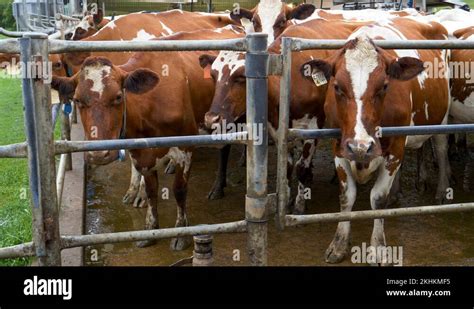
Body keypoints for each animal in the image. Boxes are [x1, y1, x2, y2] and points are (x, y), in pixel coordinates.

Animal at [52, 25, 244, 249]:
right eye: (77, 100)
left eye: (119, 96)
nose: (99, 155)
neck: (151, 103)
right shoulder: (141, 153)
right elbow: (152, 191)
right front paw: (150, 230)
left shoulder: (186, 148)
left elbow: (179, 190)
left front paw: (181, 232)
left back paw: (219, 186)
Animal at [198, 18, 364, 214]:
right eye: (213, 75)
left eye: (240, 77)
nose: (211, 118)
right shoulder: (279, 130)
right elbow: (287, 167)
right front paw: (286, 199)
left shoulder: (313, 127)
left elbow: (301, 168)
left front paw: (299, 205)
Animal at [302, 17, 450, 262]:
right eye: (337, 87)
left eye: (384, 86)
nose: (361, 146)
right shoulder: (339, 147)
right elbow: (347, 196)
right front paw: (339, 243)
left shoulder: (396, 147)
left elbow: (378, 198)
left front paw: (378, 248)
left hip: (442, 121)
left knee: (440, 150)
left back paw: (441, 191)